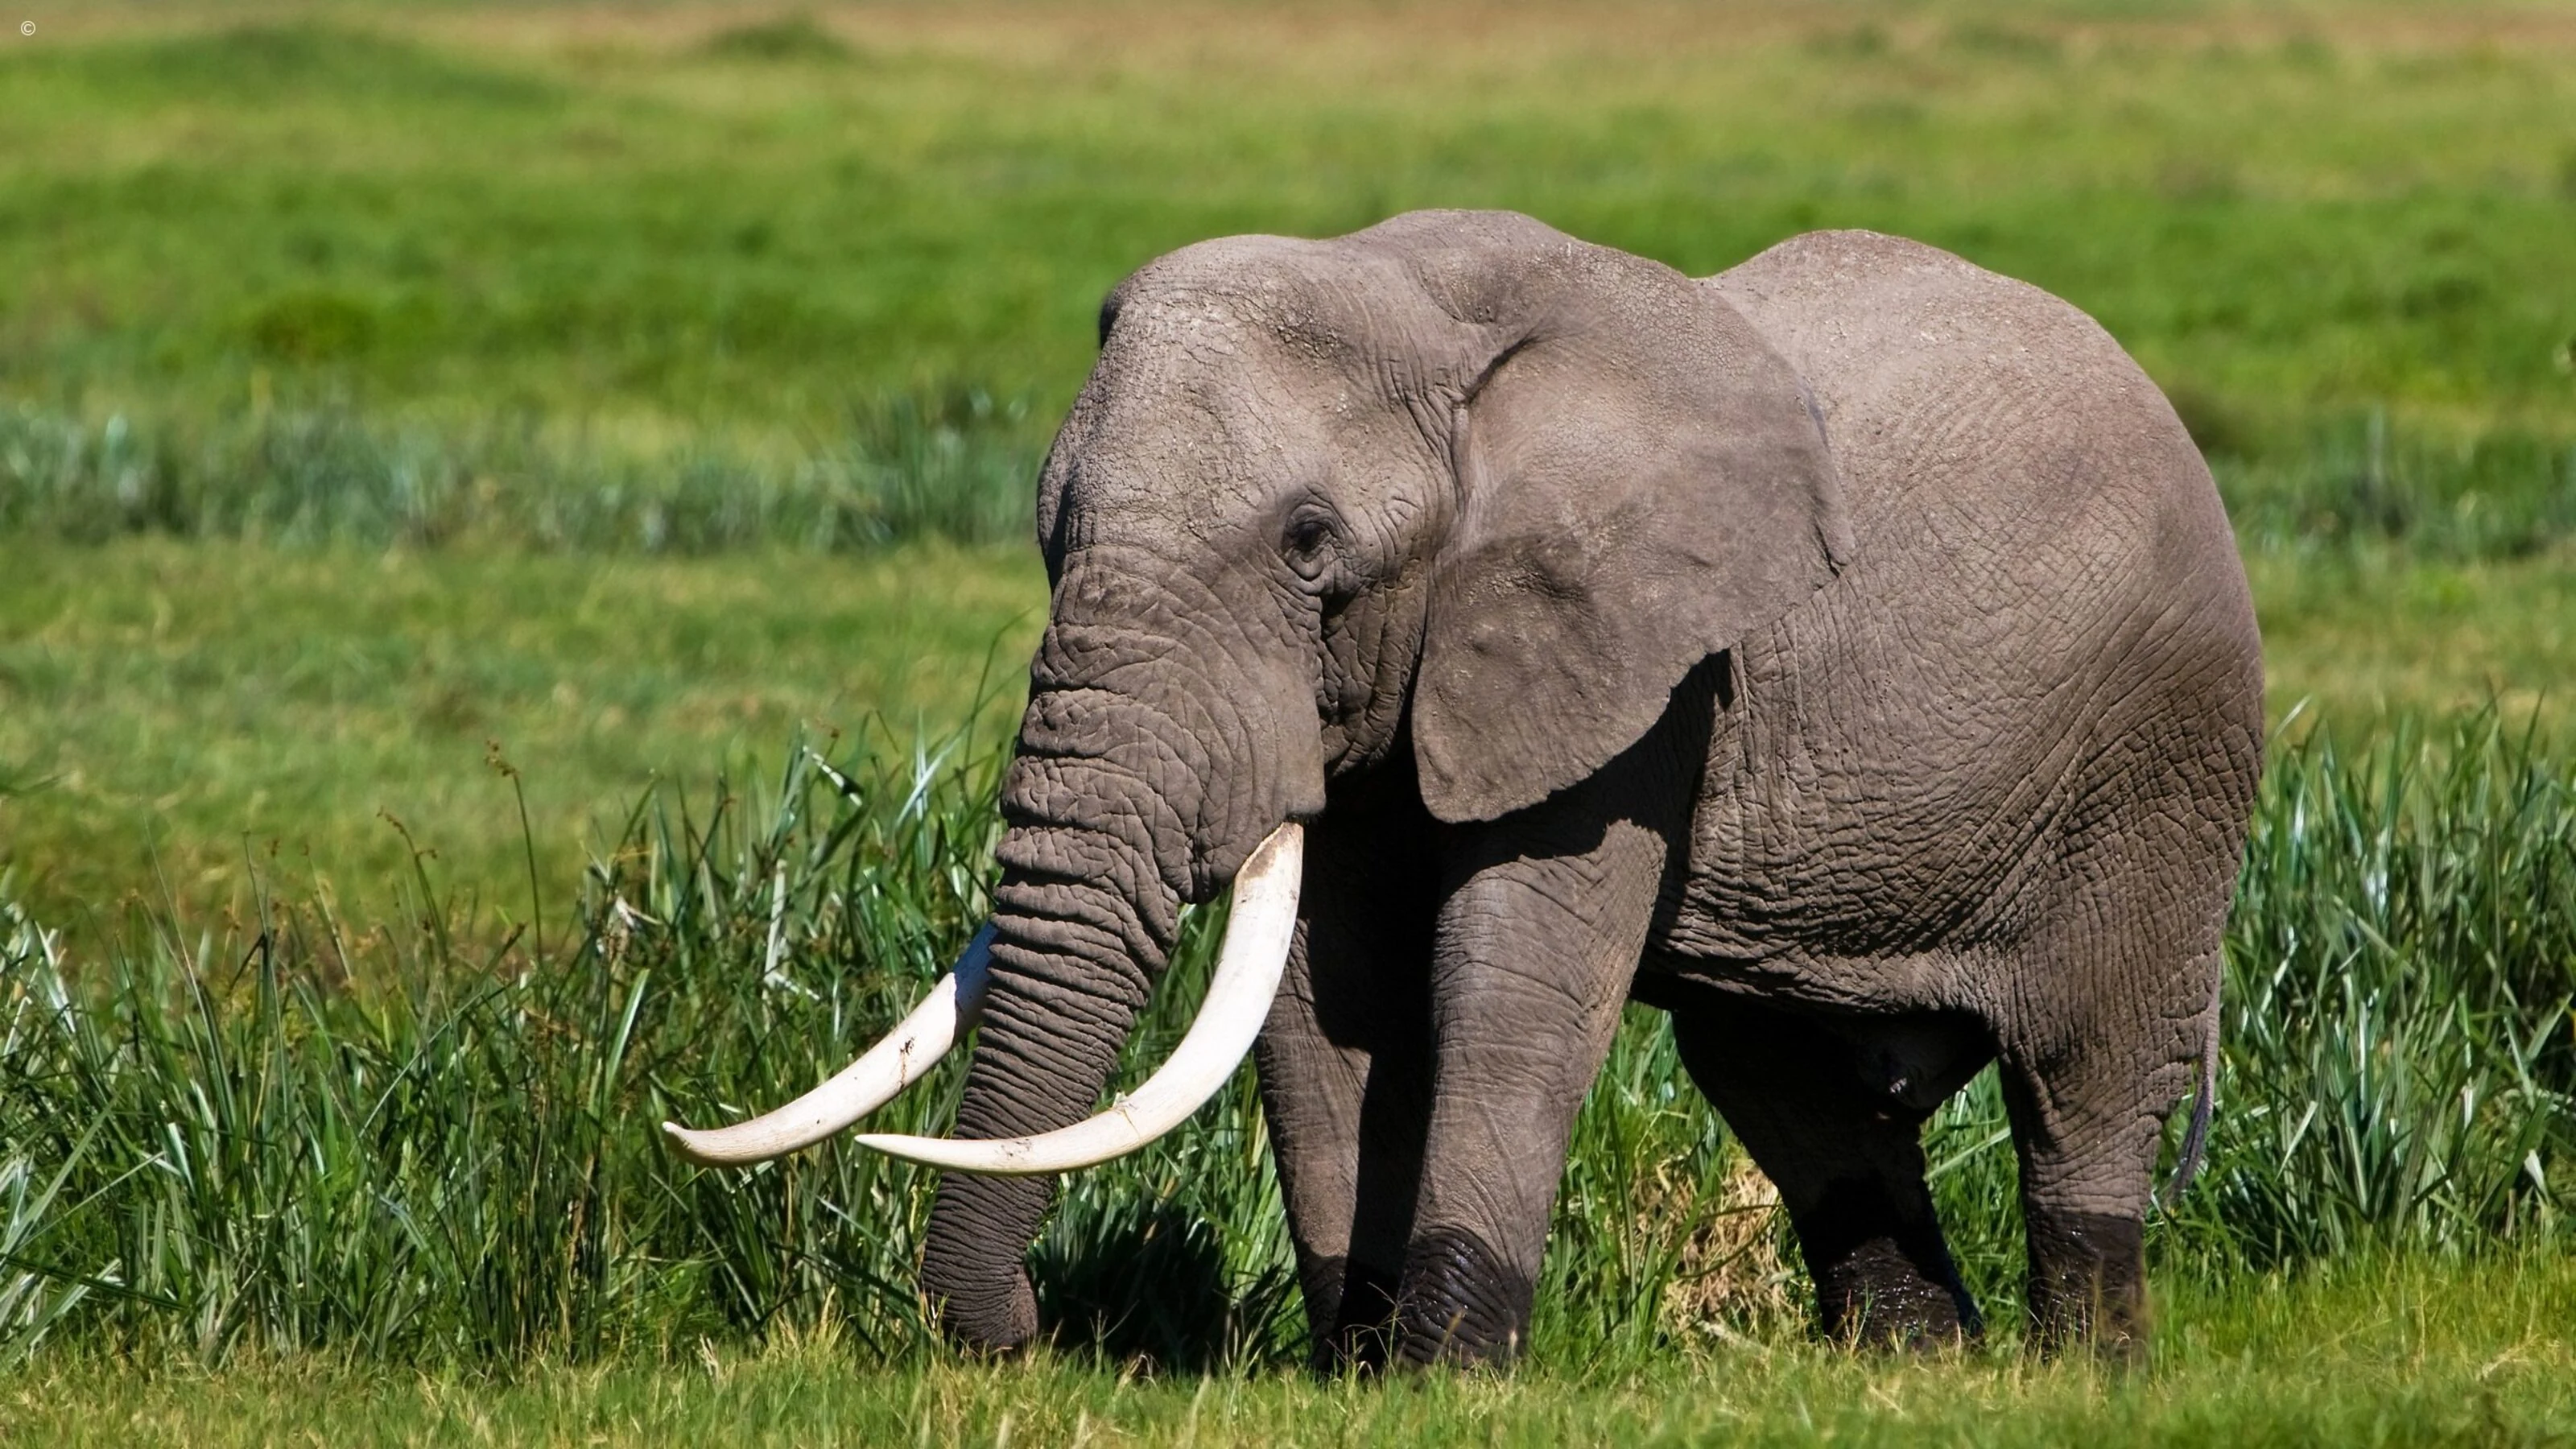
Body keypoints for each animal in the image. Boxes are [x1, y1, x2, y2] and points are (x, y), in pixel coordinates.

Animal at [666, 210, 2264, 1367]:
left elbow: (1512, 984)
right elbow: (1317, 1007)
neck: (1418, 302)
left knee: (2083, 1072)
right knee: (1786, 1082)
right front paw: (1351, 1372)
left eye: (1311, 546)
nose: (1027, 1339)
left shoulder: (1630, 666)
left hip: (2157, 761)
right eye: (1048, 533)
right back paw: (1918, 1367)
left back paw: (2081, 1371)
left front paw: (1447, 1375)